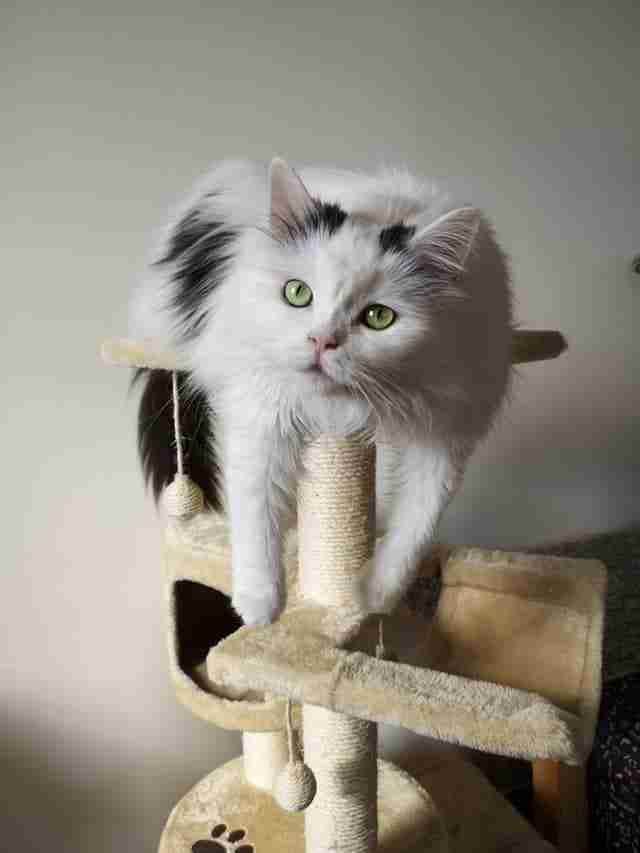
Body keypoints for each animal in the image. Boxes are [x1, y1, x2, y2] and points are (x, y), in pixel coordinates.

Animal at [131, 158, 516, 624]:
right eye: (297, 293)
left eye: (379, 317)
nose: (322, 341)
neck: (346, 404)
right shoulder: (259, 413)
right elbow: (256, 511)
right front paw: (260, 606)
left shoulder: (449, 429)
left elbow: (416, 524)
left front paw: (373, 595)